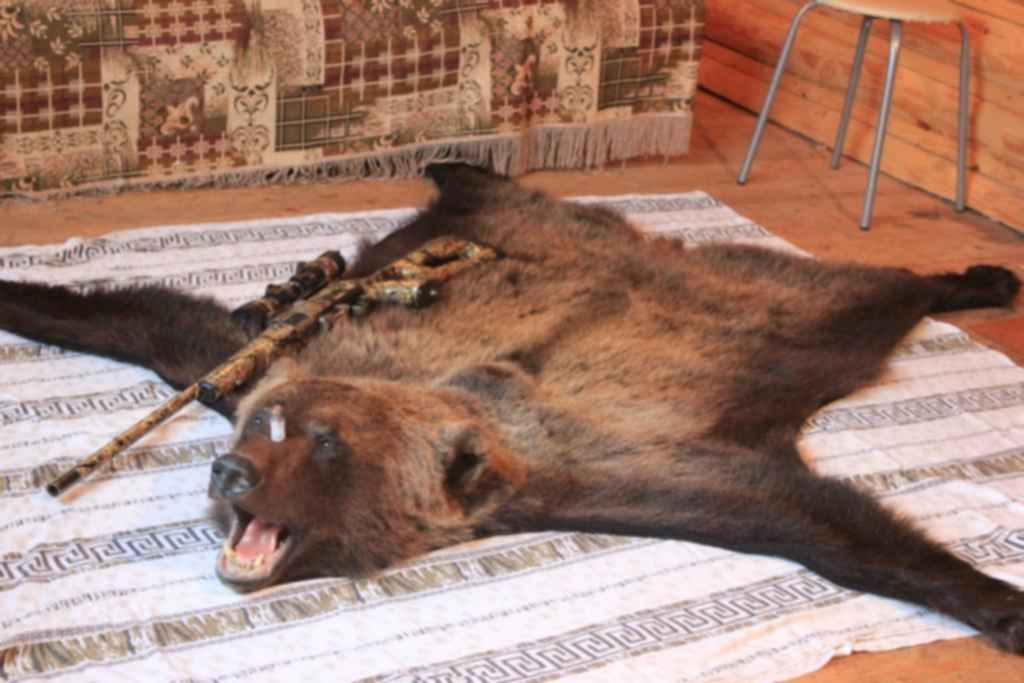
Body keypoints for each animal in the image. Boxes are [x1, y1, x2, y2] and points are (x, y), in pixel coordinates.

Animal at [1, 164, 1023, 653]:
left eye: (324, 443)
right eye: (268, 423)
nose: (231, 470)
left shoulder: (599, 462)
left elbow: (810, 519)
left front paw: (997, 601)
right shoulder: (253, 358)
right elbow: (148, 318)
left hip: (779, 310)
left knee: (870, 294)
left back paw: (977, 275)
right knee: (490, 187)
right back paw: (449, 161)